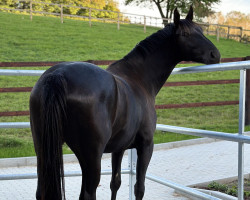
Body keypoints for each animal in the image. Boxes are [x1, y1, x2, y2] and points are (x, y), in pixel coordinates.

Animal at [30, 6, 220, 200]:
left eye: (201, 30)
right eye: (186, 33)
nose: (215, 54)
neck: (139, 78)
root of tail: (58, 75)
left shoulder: (119, 148)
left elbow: (115, 183)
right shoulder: (146, 145)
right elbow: (139, 188)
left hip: (43, 150)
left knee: (41, 191)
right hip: (91, 157)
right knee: (88, 193)